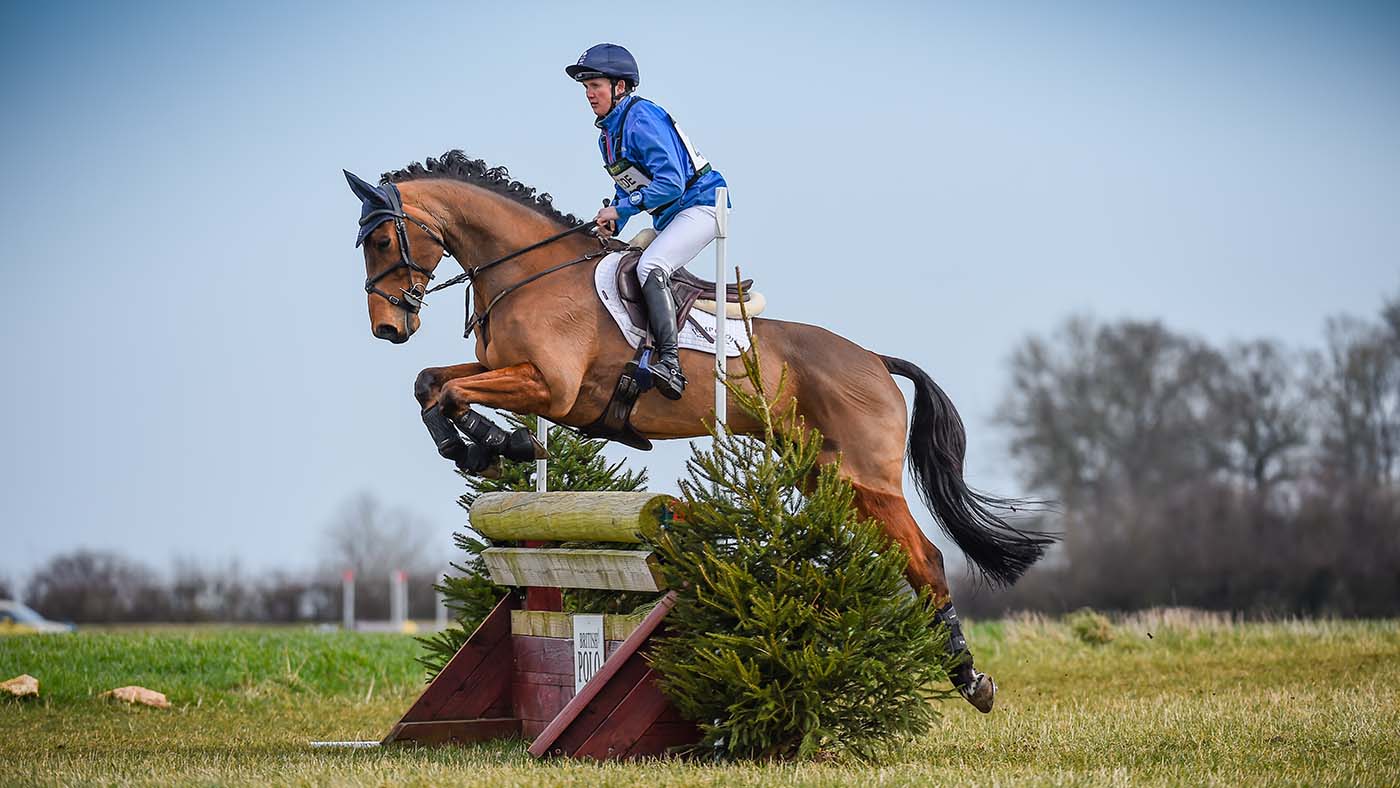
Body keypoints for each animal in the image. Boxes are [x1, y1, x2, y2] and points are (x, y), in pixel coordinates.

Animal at [344, 150, 1055, 711]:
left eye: (381, 243)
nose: (388, 328)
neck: (528, 274)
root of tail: (876, 360)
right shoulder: (509, 372)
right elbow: (430, 382)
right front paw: (480, 447)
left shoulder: (553, 388)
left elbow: (452, 390)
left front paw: (498, 445)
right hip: (825, 475)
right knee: (898, 557)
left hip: (866, 476)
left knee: (925, 558)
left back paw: (970, 680)